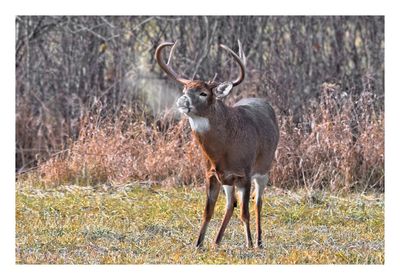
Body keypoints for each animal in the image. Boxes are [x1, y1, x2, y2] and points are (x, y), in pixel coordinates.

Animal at [155, 41, 280, 247]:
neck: (224, 149)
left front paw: (249, 244)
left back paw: (259, 241)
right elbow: (208, 211)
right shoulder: (211, 174)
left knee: (258, 202)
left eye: (203, 93)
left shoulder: (244, 173)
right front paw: (198, 244)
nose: (182, 101)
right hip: (228, 181)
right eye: (185, 90)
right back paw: (216, 241)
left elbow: (245, 213)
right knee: (231, 204)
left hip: (264, 169)